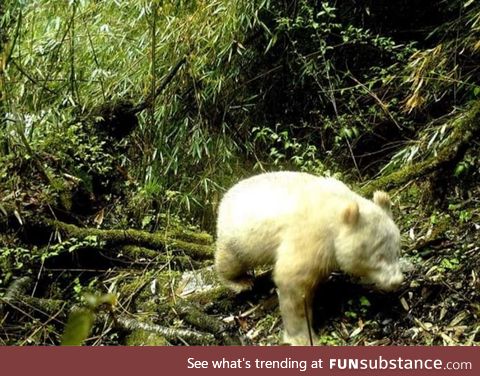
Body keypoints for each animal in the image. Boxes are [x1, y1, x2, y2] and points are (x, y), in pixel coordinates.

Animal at [216, 172, 404, 346]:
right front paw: (302, 337)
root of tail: (226, 195)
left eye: (396, 251)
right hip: (238, 235)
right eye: (379, 257)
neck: (336, 211)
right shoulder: (310, 235)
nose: (396, 281)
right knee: (231, 260)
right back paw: (240, 282)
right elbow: (292, 281)